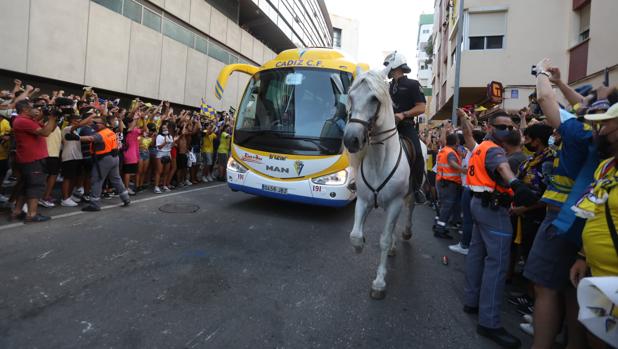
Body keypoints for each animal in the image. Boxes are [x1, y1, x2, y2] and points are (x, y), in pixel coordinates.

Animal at [344, 70, 416, 300]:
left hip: (408, 197)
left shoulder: (394, 203)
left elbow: (383, 241)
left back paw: (405, 234)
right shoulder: (363, 200)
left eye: (374, 99)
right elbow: (355, 236)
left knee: (409, 210)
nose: (351, 140)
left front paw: (379, 283)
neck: (379, 161)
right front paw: (359, 246)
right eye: (351, 96)